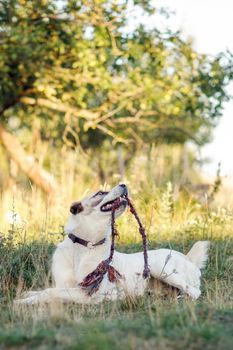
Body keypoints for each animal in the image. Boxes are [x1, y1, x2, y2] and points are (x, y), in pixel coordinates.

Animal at [15, 185, 209, 304]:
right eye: (100, 192)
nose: (124, 184)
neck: (86, 245)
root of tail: (188, 258)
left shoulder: (89, 294)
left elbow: (51, 293)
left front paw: (22, 302)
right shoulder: (65, 285)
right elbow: (47, 290)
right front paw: (28, 295)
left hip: (160, 268)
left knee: (194, 291)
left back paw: (181, 299)